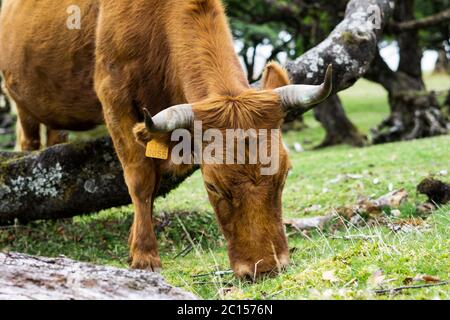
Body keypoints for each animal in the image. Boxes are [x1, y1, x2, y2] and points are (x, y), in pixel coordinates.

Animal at [0, 0, 330, 278]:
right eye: (212, 185)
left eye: (284, 174)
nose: (266, 267)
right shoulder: (113, 96)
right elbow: (141, 180)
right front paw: (144, 255)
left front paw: (134, 241)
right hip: (21, 101)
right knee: (29, 144)